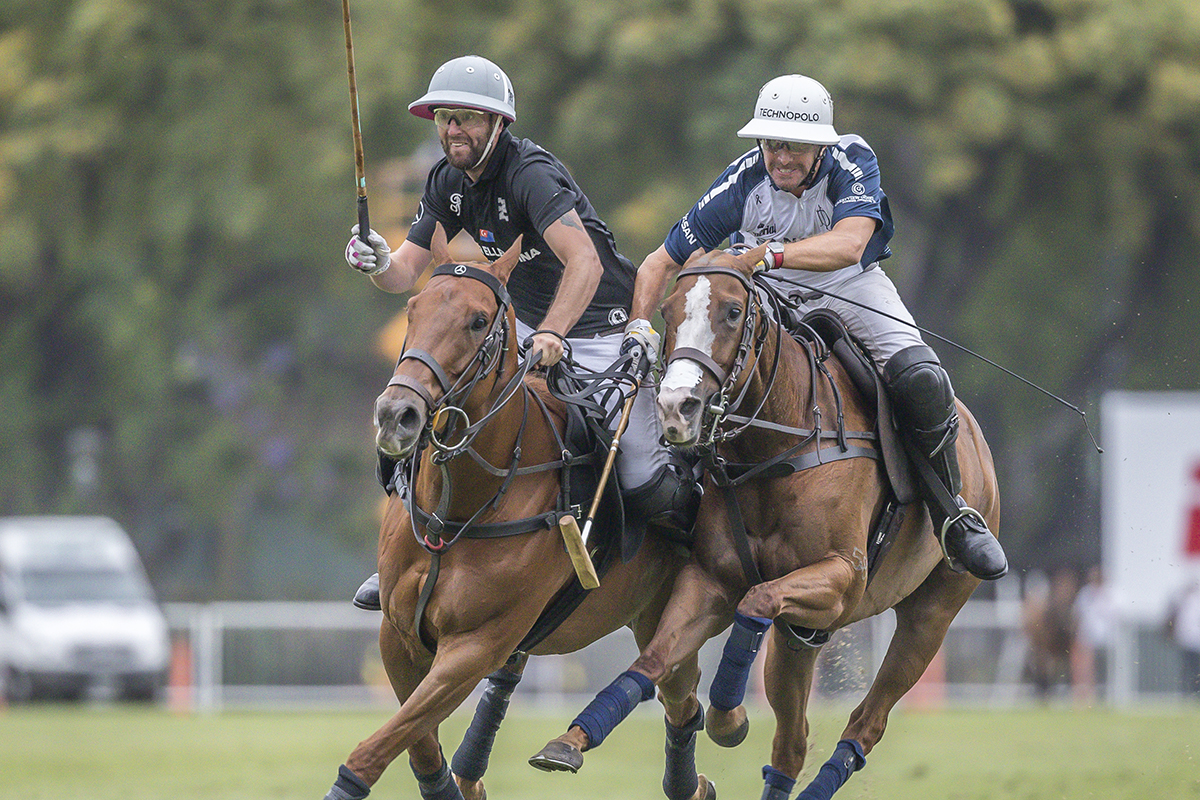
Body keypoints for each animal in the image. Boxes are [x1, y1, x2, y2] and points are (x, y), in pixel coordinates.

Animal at [324, 231, 710, 800]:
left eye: (478, 320)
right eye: (412, 310)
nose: (397, 415)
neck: (458, 506)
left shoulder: (474, 646)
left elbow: (374, 750)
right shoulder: (398, 635)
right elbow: (419, 747)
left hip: (662, 613)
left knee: (681, 699)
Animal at [530, 245, 998, 800]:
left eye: (733, 311)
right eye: (666, 311)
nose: (675, 408)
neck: (774, 448)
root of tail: (974, 435)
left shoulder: (844, 578)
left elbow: (756, 599)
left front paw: (727, 714)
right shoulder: (709, 579)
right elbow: (656, 660)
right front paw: (572, 740)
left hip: (932, 612)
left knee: (868, 721)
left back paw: (969, 535)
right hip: (802, 637)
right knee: (791, 743)